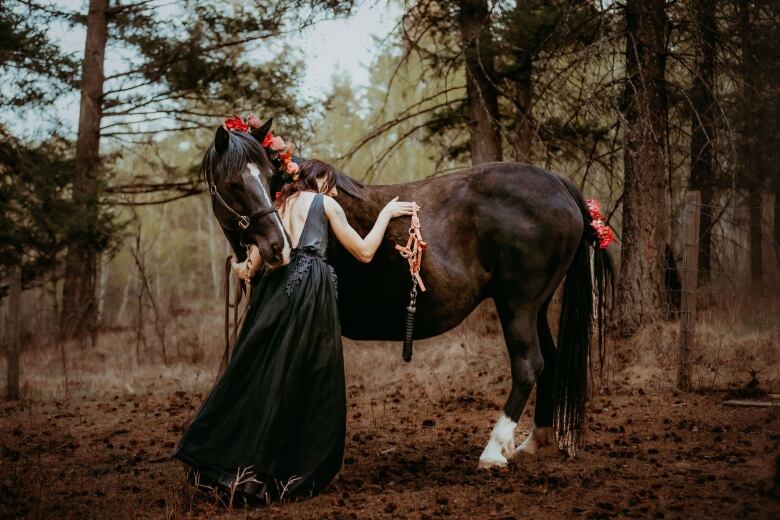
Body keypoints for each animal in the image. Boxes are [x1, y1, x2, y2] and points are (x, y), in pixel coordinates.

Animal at [203, 121, 616, 468]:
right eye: (233, 183)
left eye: (267, 177)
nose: (277, 247)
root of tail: (558, 184)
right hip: (537, 306)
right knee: (551, 359)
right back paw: (534, 442)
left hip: (518, 305)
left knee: (529, 365)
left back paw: (494, 450)